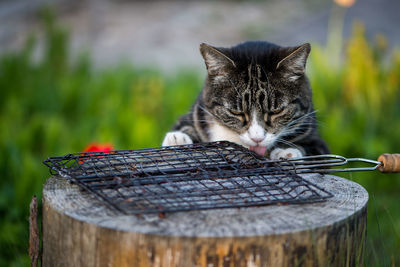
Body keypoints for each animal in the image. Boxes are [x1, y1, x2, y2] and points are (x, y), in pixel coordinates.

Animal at [161, 40, 330, 160]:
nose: (257, 139)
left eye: (277, 111)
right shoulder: (198, 112)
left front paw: (286, 151)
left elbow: (311, 150)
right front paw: (178, 139)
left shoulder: (318, 142)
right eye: (236, 112)